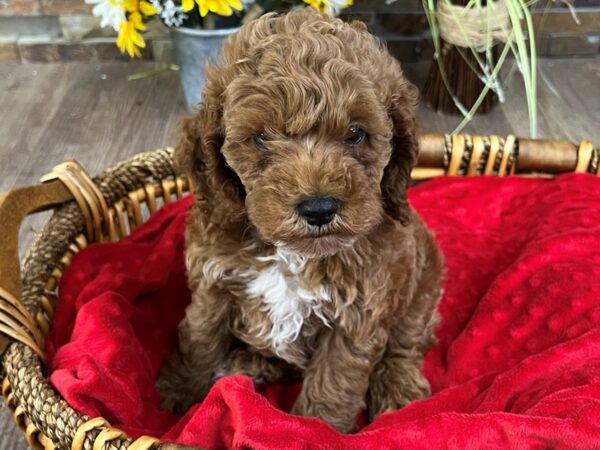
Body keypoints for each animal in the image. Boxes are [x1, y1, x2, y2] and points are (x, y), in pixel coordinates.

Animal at [157, 9, 442, 432]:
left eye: (355, 133)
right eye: (260, 137)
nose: (319, 208)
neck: (292, 253)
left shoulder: (357, 314)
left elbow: (333, 381)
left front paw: (314, 429)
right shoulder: (214, 281)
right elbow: (201, 338)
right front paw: (177, 391)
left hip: (422, 287)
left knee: (404, 346)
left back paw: (398, 392)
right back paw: (245, 364)